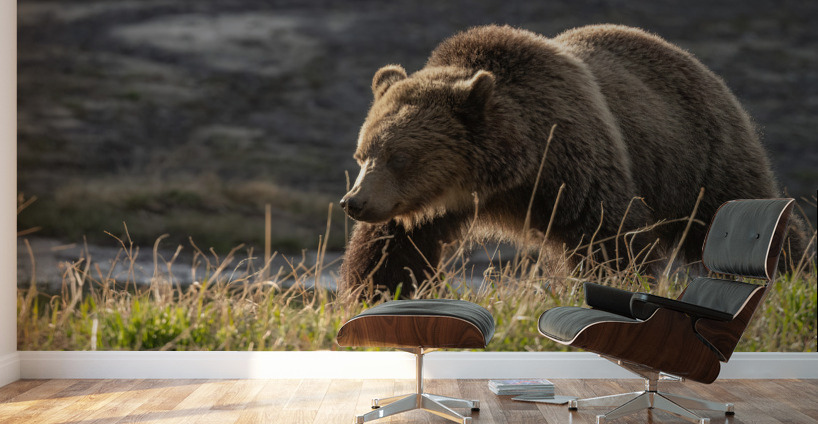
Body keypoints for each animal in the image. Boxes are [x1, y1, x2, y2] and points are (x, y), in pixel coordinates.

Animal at [339, 24, 797, 298]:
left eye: (400, 156)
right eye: (362, 154)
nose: (354, 203)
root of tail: (693, 61)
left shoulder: (573, 166)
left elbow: (609, 240)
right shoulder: (423, 210)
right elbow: (390, 254)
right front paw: (373, 293)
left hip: (698, 157)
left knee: (744, 212)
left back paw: (791, 275)